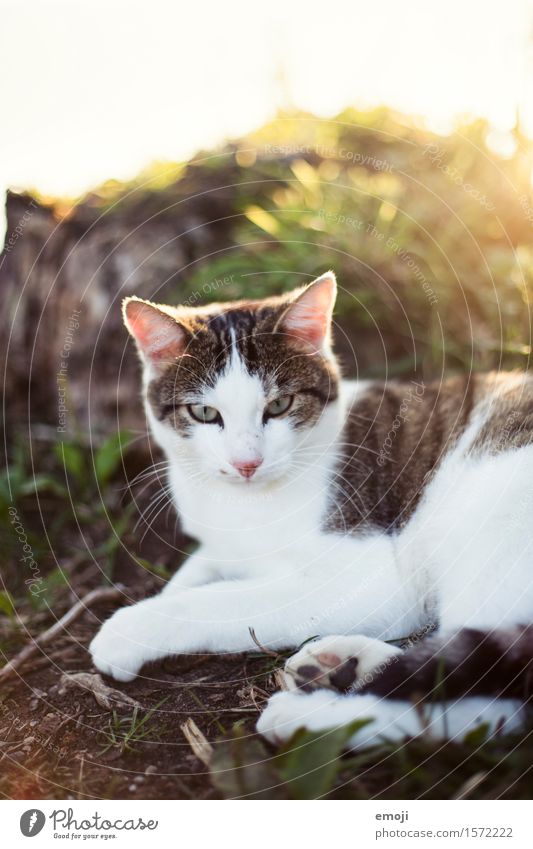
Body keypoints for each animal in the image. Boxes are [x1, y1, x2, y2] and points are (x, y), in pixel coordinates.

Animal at [89, 274, 532, 748]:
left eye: (279, 406)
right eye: (204, 412)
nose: (247, 463)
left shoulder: (375, 579)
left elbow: (223, 600)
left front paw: (132, 627)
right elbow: (196, 572)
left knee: (490, 703)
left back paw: (306, 720)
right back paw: (343, 664)